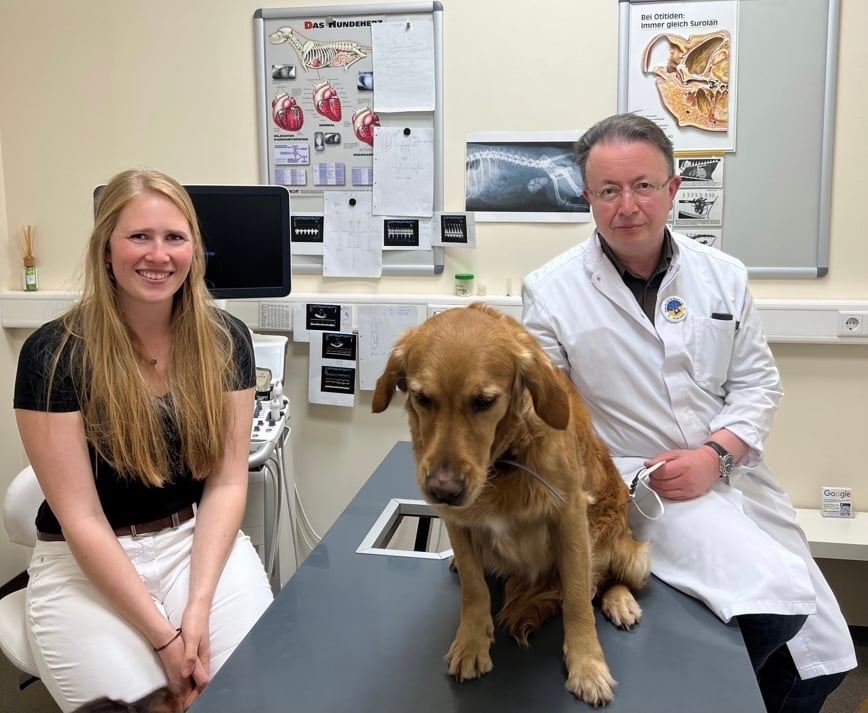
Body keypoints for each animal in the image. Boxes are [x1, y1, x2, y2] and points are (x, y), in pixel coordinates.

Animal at [372, 304, 652, 704]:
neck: (502, 462)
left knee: (610, 579)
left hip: (630, 553)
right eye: (421, 398)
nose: (443, 490)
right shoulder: (457, 521)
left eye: (484, 402)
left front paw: (587, 665)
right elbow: (474, 588)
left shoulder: (570, 517)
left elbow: (578, 598)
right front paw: (472, 643)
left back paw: (620, 601)